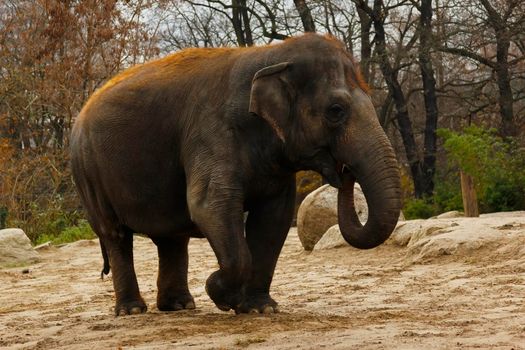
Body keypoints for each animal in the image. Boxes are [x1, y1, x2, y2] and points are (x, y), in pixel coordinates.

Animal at [70, 34, 402, 316]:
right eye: (336, 110)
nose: (344, 172)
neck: (270, 55)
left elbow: (273, 219)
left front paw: (259, 308)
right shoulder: (211, 133)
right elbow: (209, 206)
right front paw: (222, 296)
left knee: (171, 238)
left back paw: (179, 306)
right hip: (88, 173)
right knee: (116, 234)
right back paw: (133, 310)